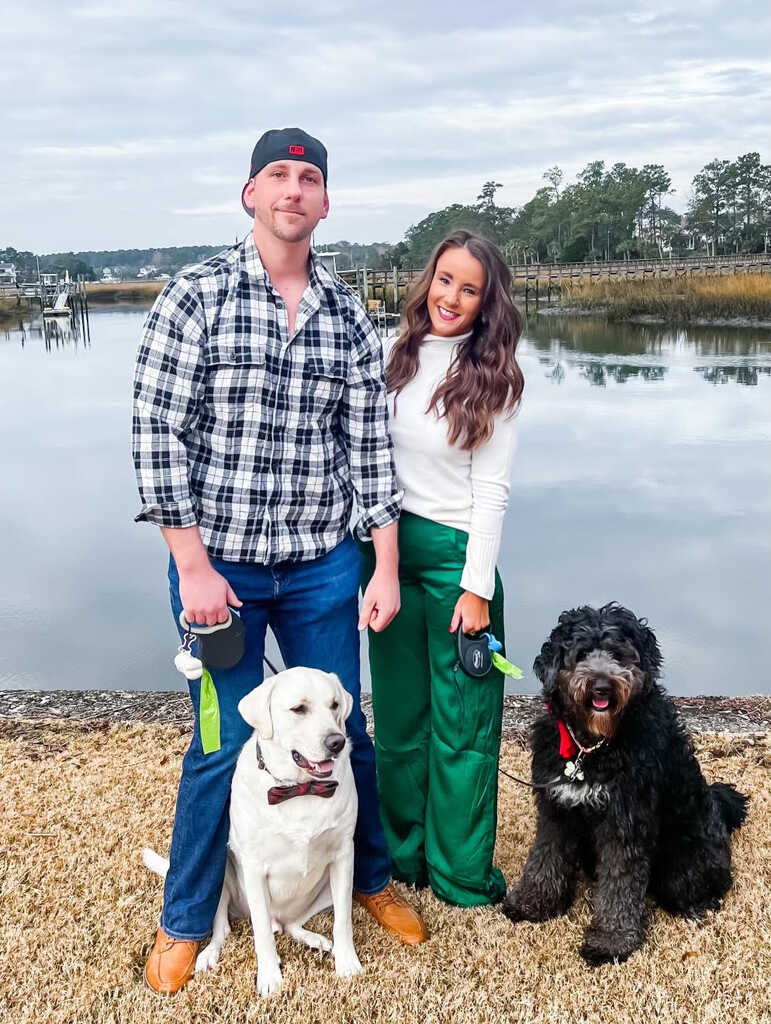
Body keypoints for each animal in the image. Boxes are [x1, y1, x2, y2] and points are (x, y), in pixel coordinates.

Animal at [143, 667, 360, 995]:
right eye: (299, 709)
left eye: (335, 705)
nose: (337, 742)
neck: (299, 789)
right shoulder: (255, 867)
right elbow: (261, 933)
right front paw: (269, 977)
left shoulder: (344, 856)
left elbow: (343, 920)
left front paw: (347, 963)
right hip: (220, 873)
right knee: (225, 928)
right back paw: (209, 954)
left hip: (326, 889)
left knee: (293, 924)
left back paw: (315, 939)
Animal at [499, 606, 745, 966]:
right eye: (582, 653)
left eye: (618, 654)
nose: (602, 687)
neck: (593, 746)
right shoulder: (556, 808)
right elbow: (545, 856)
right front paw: (532, 902)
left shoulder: (626, 819)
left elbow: (620, 883)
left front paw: (610, 941)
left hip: (685, 865)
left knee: (707, 885)